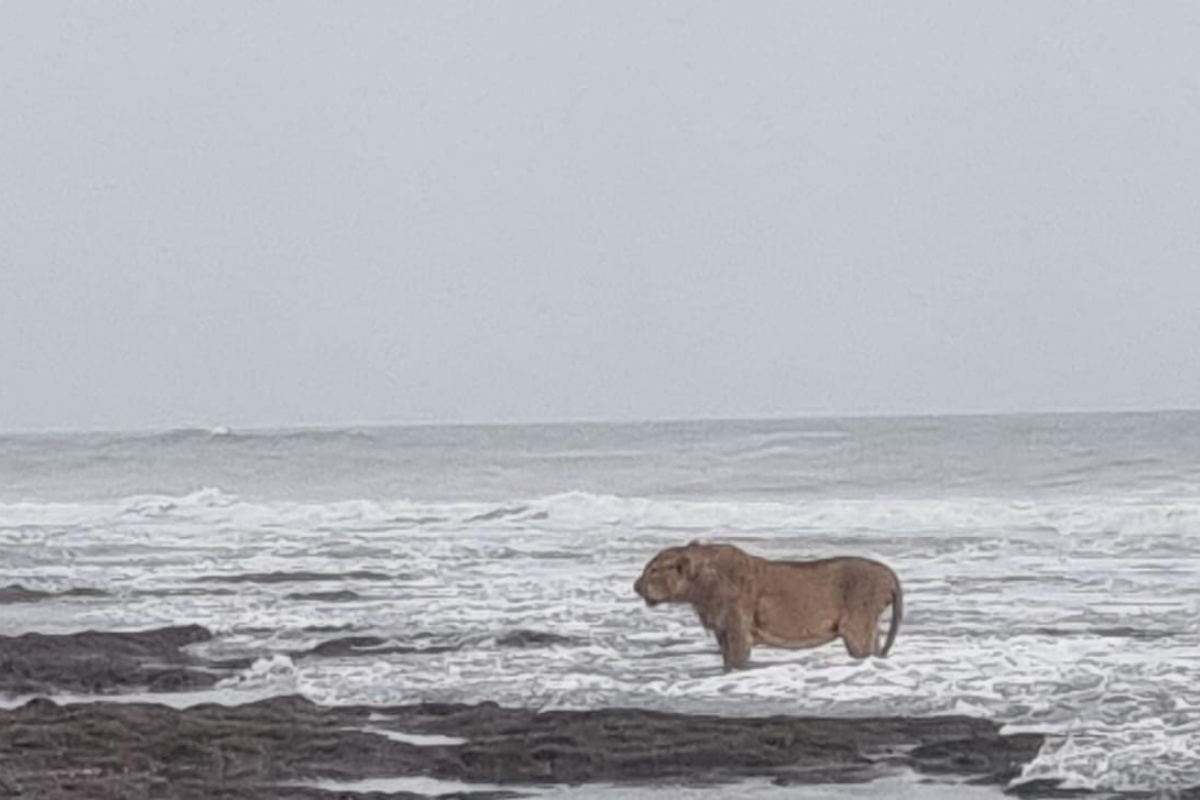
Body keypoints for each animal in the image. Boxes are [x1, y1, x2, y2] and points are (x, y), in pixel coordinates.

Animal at [633, 542, 902, 670]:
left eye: (653, 570)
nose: (636, 586)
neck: (700, 588)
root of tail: (890, 573)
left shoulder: (737, 628)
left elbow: (737, 661)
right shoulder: (722, 631)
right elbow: (726, 662)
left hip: (857, 627)